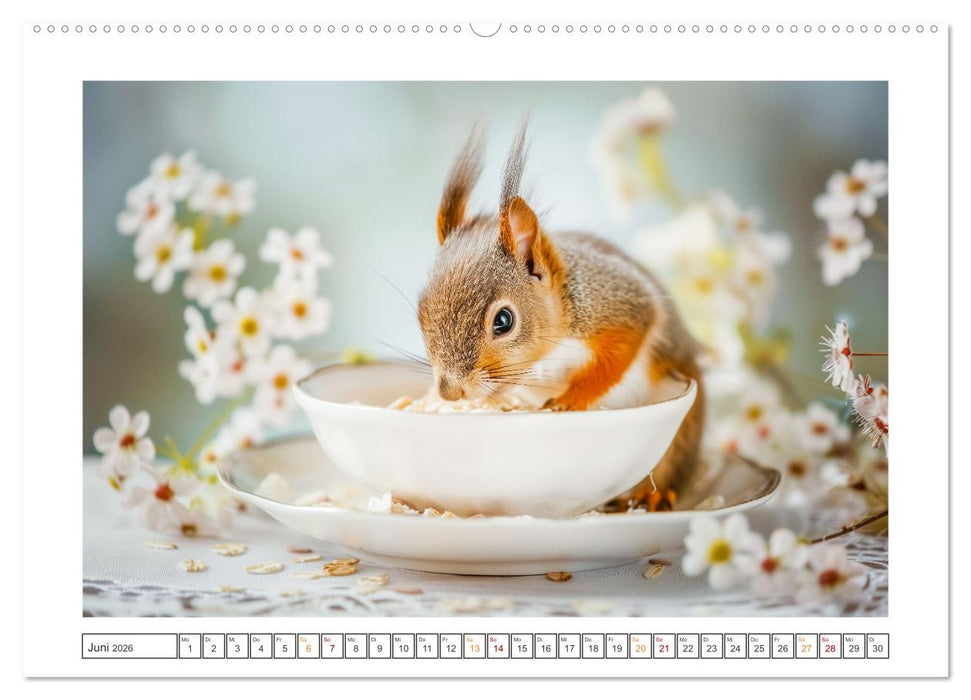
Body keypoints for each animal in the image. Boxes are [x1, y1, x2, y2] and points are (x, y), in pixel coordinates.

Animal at [416, 126, 705, 500]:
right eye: (420, 313)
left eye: (503, 321)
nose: (450, 393)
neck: (547, 354)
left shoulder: (617, 304)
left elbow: (619, 351)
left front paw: (569, 400)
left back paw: (652, 496)